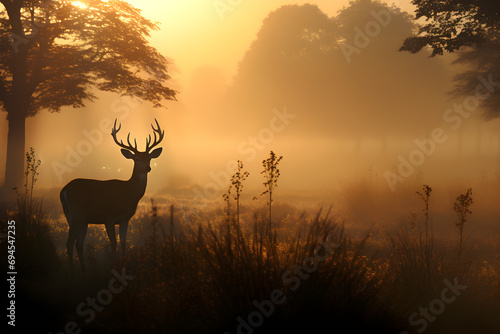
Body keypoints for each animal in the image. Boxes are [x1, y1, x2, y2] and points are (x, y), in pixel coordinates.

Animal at [59, 118, 163, 272]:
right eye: (136, 159)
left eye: (149, 158)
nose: (147, 168)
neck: (129, 193)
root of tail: (63, 190)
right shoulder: (109, 217)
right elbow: (113, 243)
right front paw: (114, 267)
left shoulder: (125, 219)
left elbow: (123, 243)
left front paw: (124, 266)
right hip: (77, 213)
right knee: (70, 242)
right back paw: (72, 271)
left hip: (77, 218)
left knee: (79, 243)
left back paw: (84, 271)